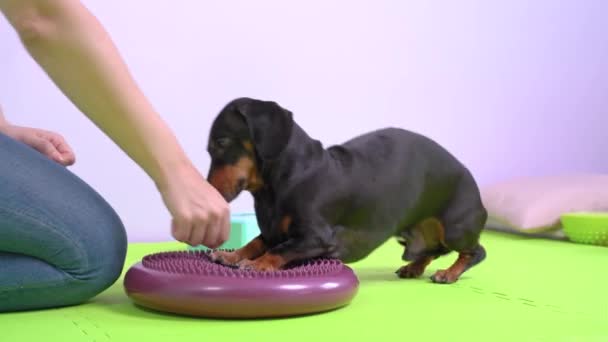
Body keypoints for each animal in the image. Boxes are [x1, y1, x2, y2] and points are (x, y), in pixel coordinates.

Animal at [207, 97, 486, 284]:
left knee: (475, 252)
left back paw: (449, 273)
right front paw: (232, 256)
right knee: (433, 250)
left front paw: (258, 265)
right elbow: (256, 242)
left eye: (221, 142)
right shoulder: (272, 232)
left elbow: (279, 250)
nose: (210, 192)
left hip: (455, 230)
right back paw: (414, 268)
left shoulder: (315, 237)